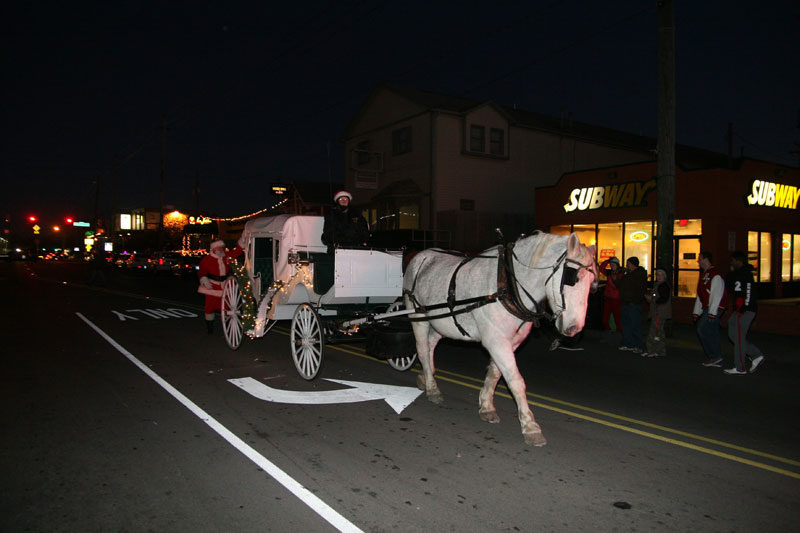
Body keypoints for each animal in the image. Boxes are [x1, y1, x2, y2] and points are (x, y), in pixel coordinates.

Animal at [404, 233, 596, 444]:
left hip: (440, 323)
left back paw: (426, 377)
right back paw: (432, 389)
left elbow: (495, 374)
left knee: (430, 346)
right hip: (419, 317)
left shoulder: (509, 341)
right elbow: (515, 380)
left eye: (593, 284)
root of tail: (419, 255)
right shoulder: (496, 341)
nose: (574, 328)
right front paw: (530, 426)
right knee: (422, 349)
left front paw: (486, 406)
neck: (507, 286)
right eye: (573, 278)